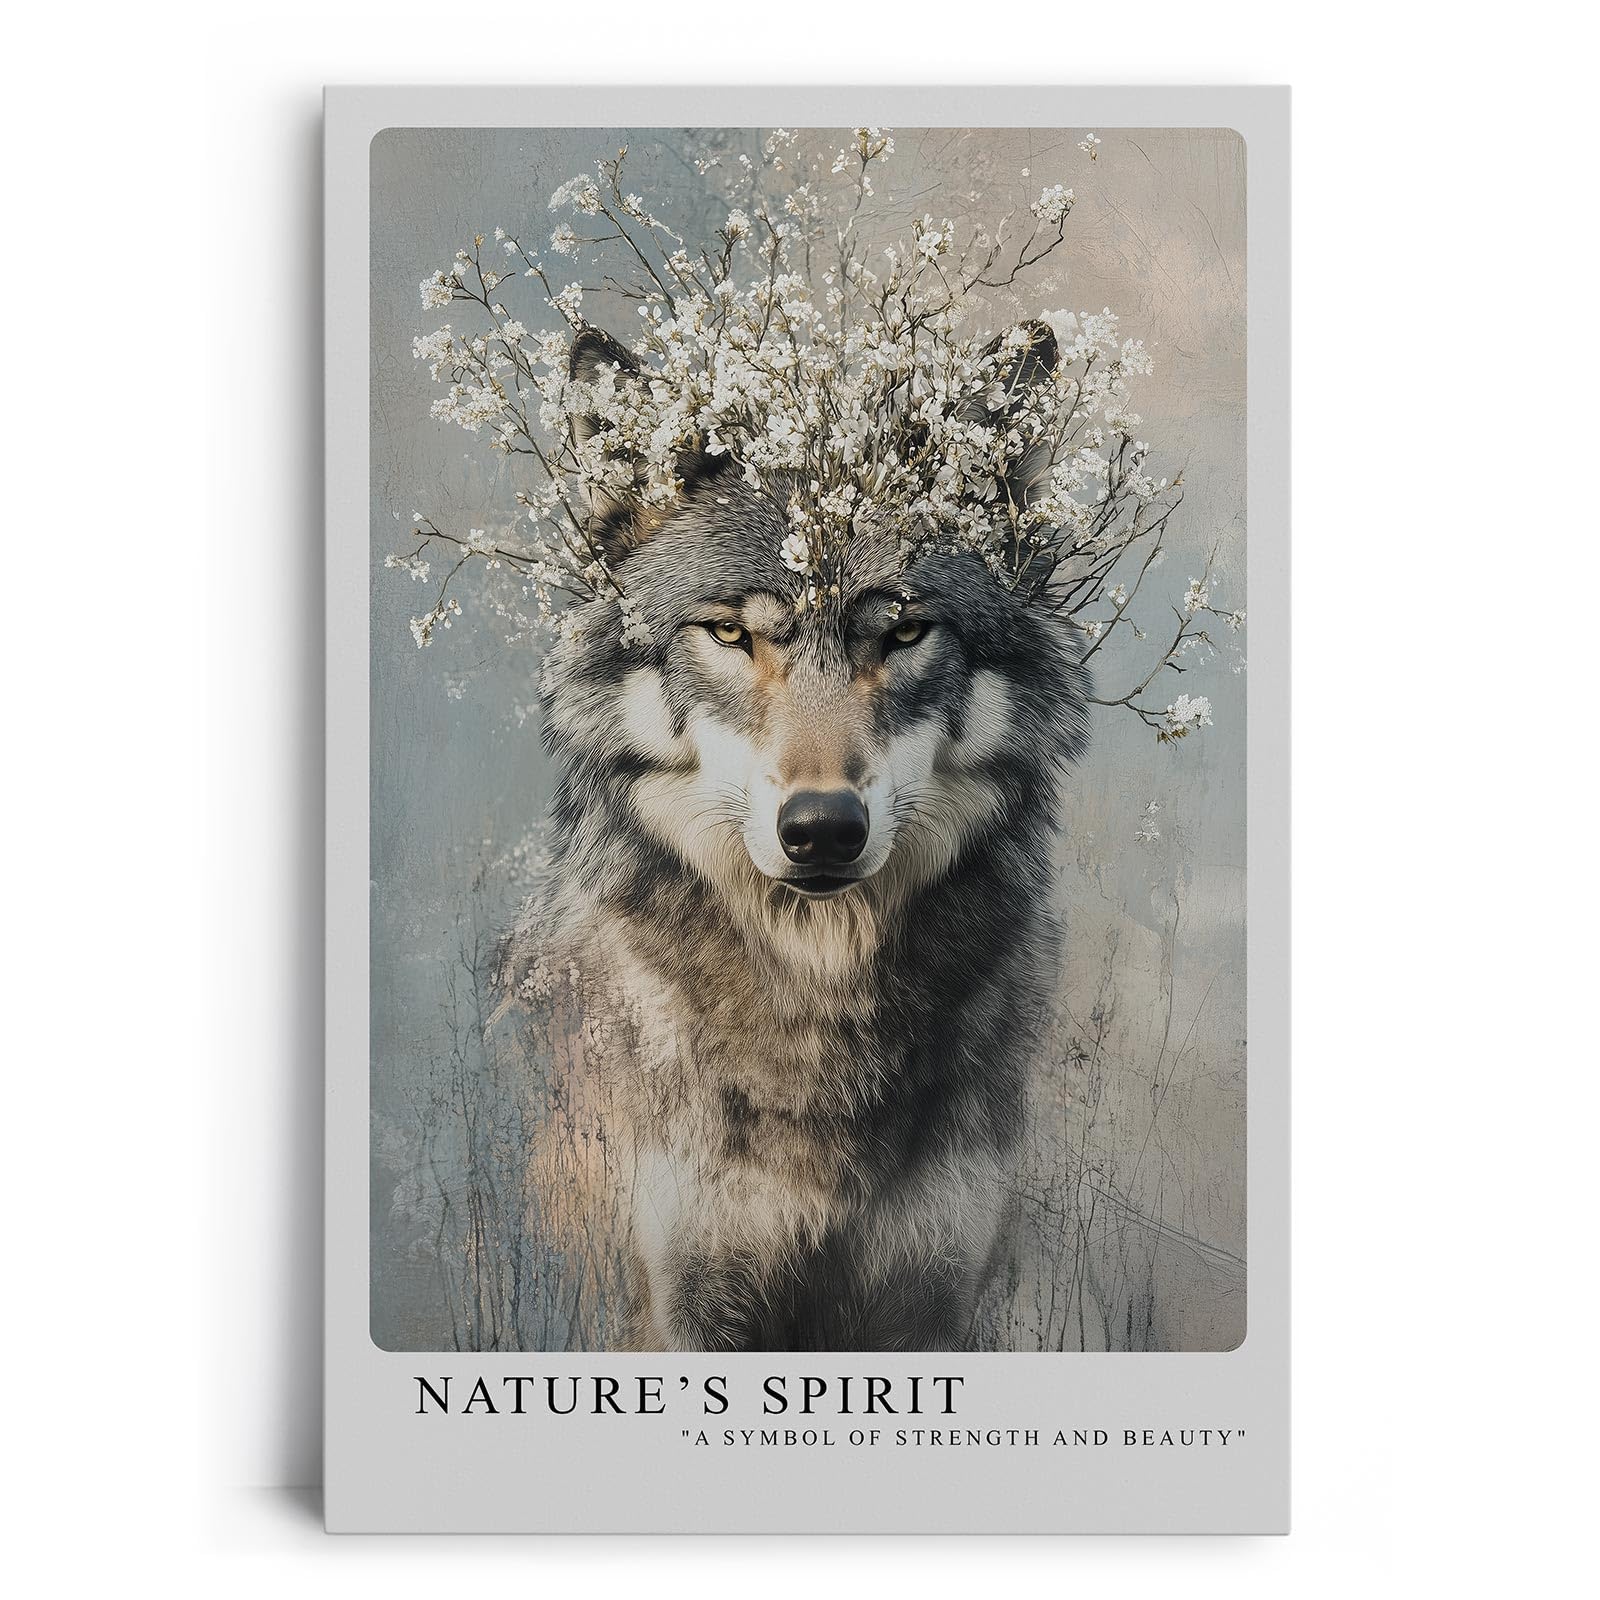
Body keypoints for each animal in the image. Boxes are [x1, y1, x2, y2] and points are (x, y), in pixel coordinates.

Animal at [519, 325, 1089, 1352]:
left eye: (902, 632)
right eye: (731, 635)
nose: (823, 830)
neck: (818, 999)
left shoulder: (936, 1305)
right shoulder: (683, 1307)